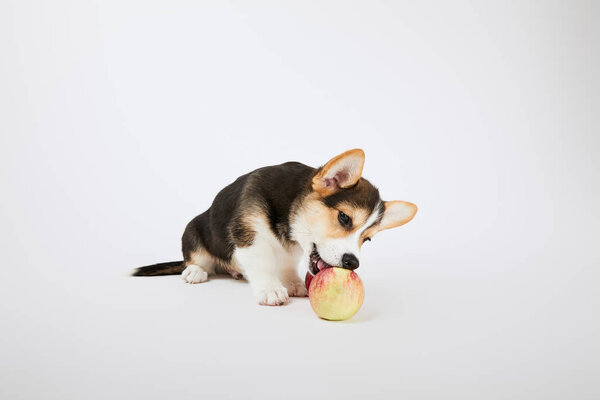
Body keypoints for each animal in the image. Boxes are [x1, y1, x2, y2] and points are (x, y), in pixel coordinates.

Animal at [132, 150, 418, 306]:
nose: (353, 263)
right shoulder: (249, 236)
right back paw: (194, 272)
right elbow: (262, 263)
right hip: (192, 230)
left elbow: (288, 265)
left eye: (367, 239)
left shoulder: (292, 250)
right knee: (195, 259)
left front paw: (292, 283)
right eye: (344, 219)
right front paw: (271, 289)